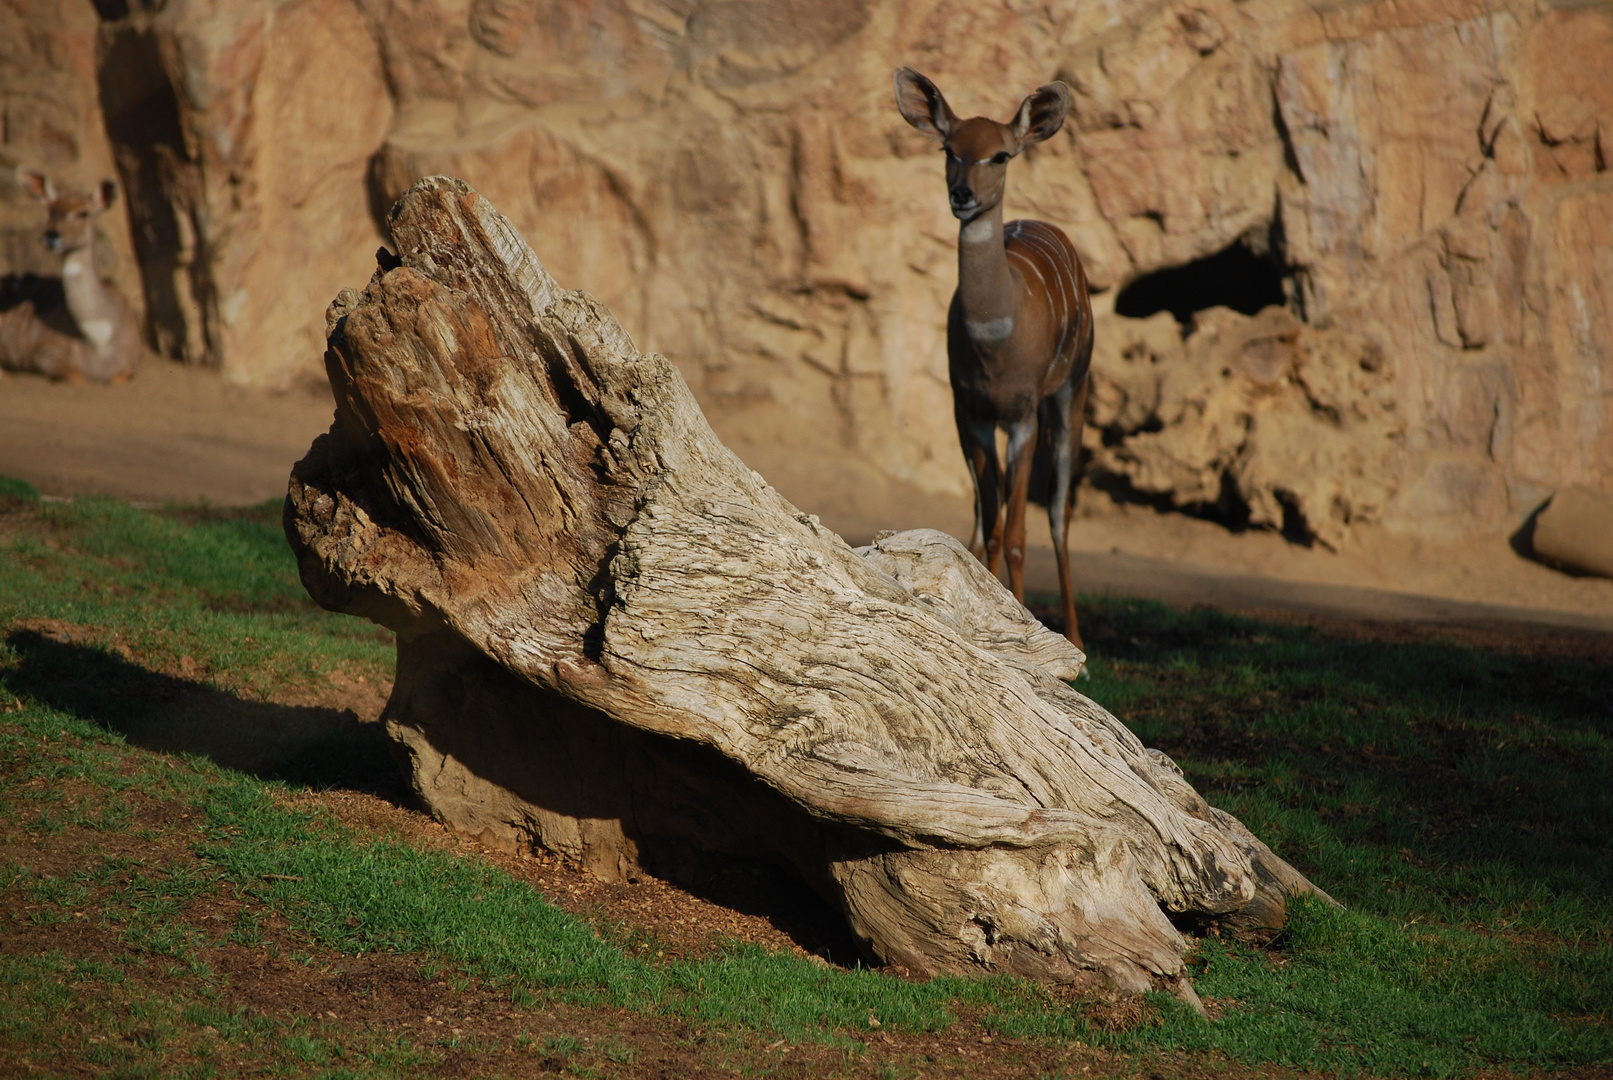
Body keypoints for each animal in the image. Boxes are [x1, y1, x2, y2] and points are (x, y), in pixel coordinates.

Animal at [0, 169, 140, 385]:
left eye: (83, 212)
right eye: (52, 210)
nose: (52, 235)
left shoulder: (131, 366)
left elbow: (117, 378)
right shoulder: (45, 354)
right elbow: (77, 377)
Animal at [890, 69, 1103, 651]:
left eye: (1001, 155)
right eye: (949, 148)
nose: (963, 195)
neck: (996, 333)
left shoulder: (1023, 414)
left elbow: (1018, 535)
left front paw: (1036, 634)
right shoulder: (972, 414)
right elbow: (990, 528)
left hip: (1071, 392)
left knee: (1058, 513)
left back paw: (1078, 639)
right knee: (989, 510)